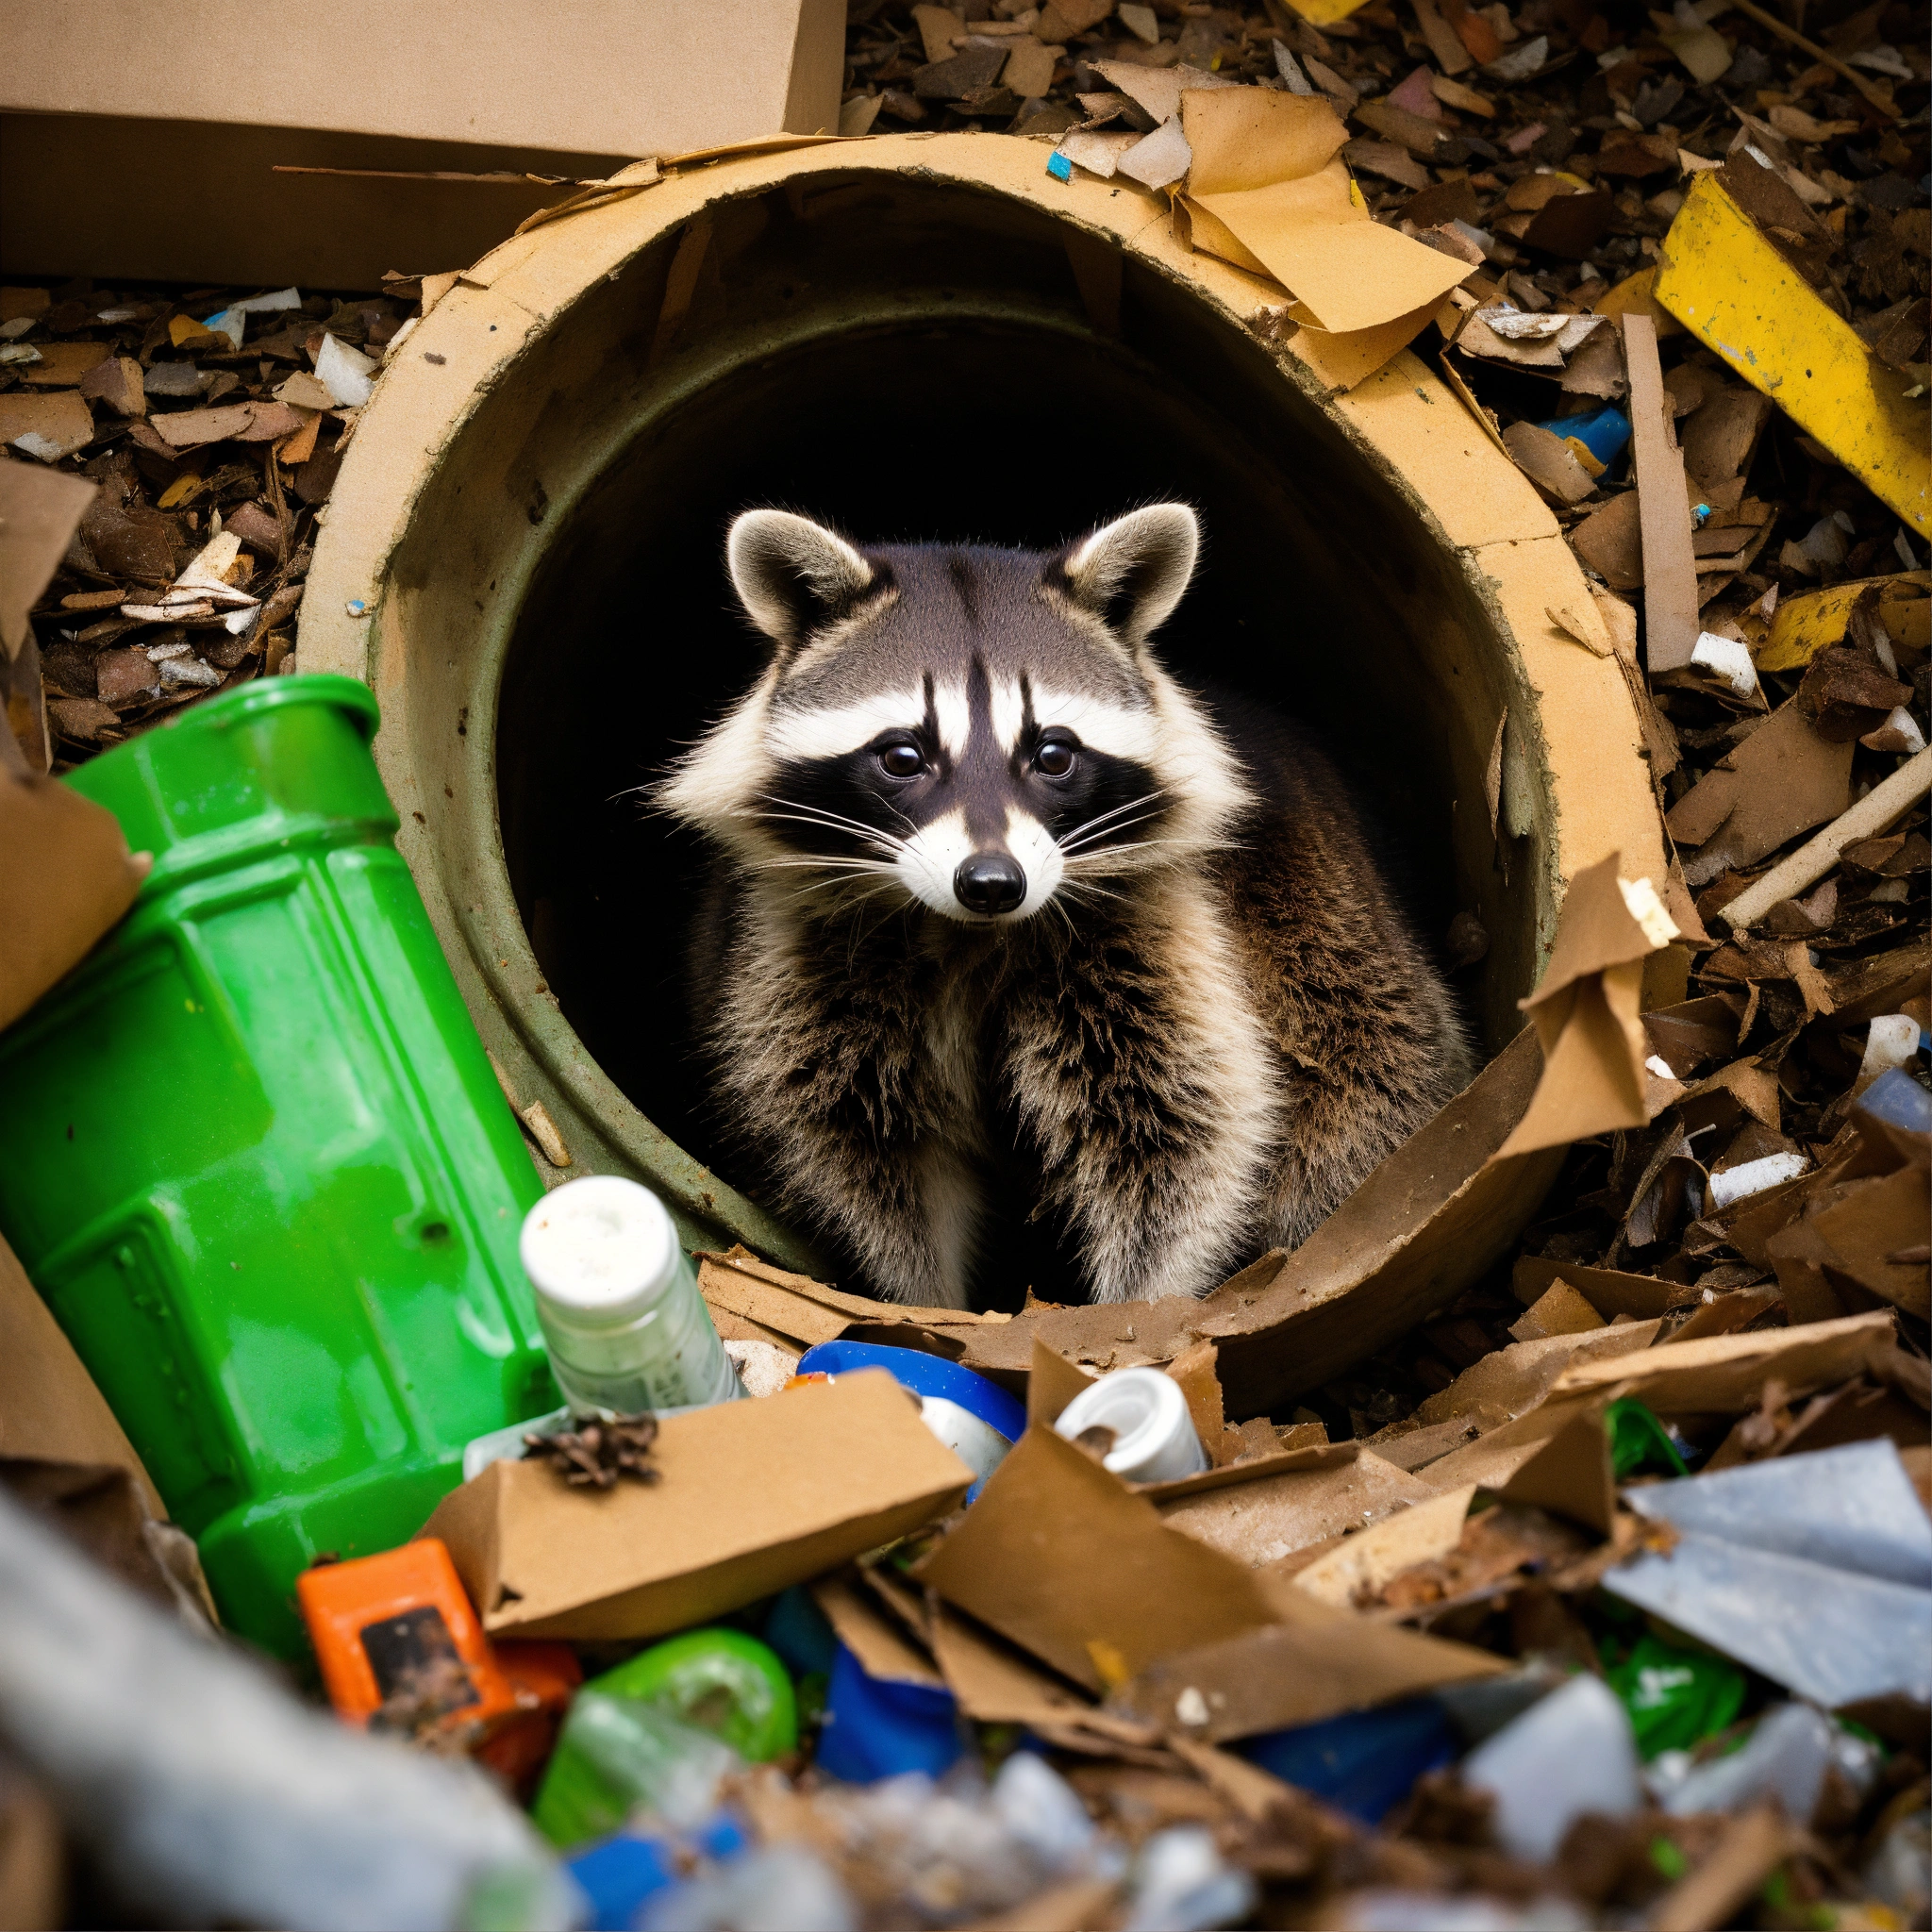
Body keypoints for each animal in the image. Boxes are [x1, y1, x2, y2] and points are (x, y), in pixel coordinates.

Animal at [659, 504, 1474, 1308]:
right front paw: (925, 1299)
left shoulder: (1161, 929)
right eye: (902, 756)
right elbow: (861, 1152)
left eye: (1052, 754)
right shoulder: (801, 960)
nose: (991, 882)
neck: (970, 935)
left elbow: (1183, 1131)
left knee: (1365, 1072)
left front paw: (1143, 1304)